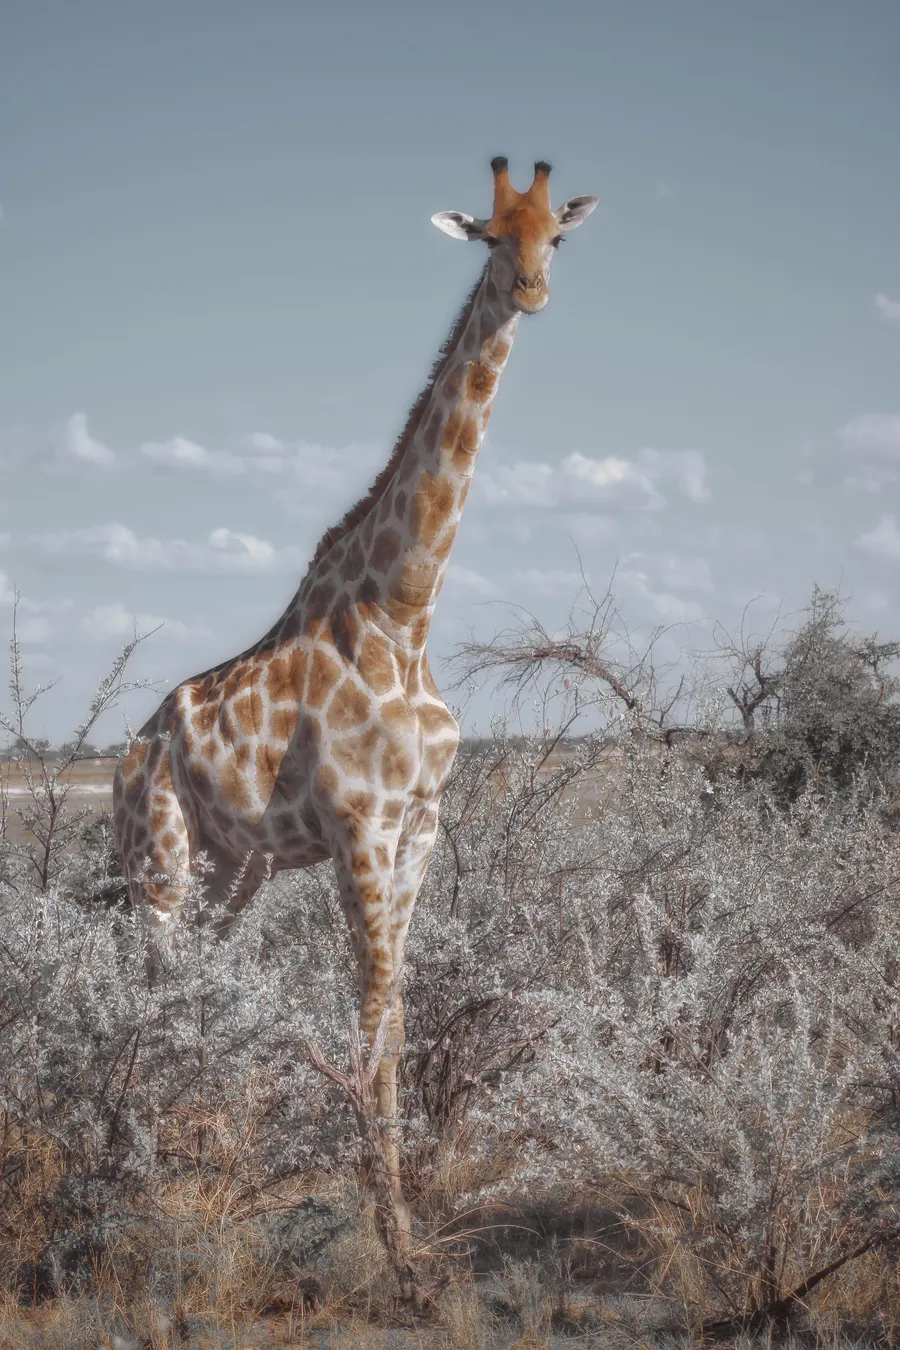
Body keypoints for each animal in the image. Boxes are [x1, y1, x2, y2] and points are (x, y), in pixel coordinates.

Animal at [113, 155, 597, 1244]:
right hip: (156, 860)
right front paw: (396, 1237)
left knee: (189, 985)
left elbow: (398, 1019)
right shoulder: (360, 830)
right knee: (138, 990)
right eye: (490, 237)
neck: (403, 613)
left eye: (556, 235)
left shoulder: (417, 827)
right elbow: (369, 1021)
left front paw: (401, 1215)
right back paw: (123, 1168)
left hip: (230, 871)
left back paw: (171, 1155)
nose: (532, 292)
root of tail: (127, 756)